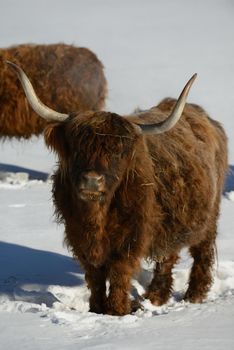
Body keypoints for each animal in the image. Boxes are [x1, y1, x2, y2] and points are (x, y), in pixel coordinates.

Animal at [8, 61, 228, 316]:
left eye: (117, 152)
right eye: (77, 148)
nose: (92, 180)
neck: (97, 217)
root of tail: (206, 118)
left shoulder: (130, 240)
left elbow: (119, 274)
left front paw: (117, 311)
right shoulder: (80, 238)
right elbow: (94, 276)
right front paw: (96, 309)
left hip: (209, 215)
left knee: (201, 252)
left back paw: (194, 296)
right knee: (167, 256)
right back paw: (156, 297)